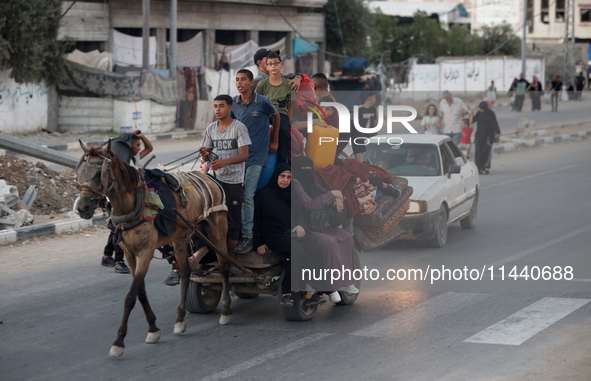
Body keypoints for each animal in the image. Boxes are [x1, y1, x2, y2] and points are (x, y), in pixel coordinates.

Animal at [76, 140, 238, 356]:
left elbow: (131, 296)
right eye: (80, 173)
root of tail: (207, 176)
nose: (82, 207)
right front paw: (153, 328)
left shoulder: (145, 252)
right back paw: (180, 319)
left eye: (98, 174)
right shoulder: (130, 255)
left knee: (224, 267)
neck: (133, 205)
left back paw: (226, 310)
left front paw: (119, 341)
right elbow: (140, 292)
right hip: (180, 236)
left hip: (217, 228)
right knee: (185, 272)